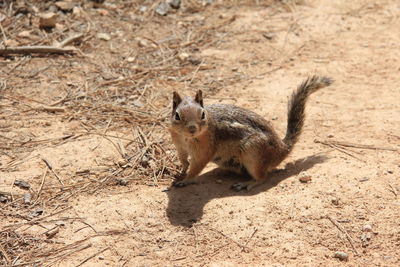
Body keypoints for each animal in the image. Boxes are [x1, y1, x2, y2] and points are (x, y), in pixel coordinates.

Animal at [167, 76, 332, 192]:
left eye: (202, 114)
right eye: (177, 115)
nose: (192, 129)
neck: (186, 139)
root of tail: (281, 149)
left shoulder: (204, 150)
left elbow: (196, 167)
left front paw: (186, 180)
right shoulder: (179, 145)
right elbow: (184, 160)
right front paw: (180, 171)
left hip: (253, 153)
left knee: (263, 177)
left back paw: (246, 184)